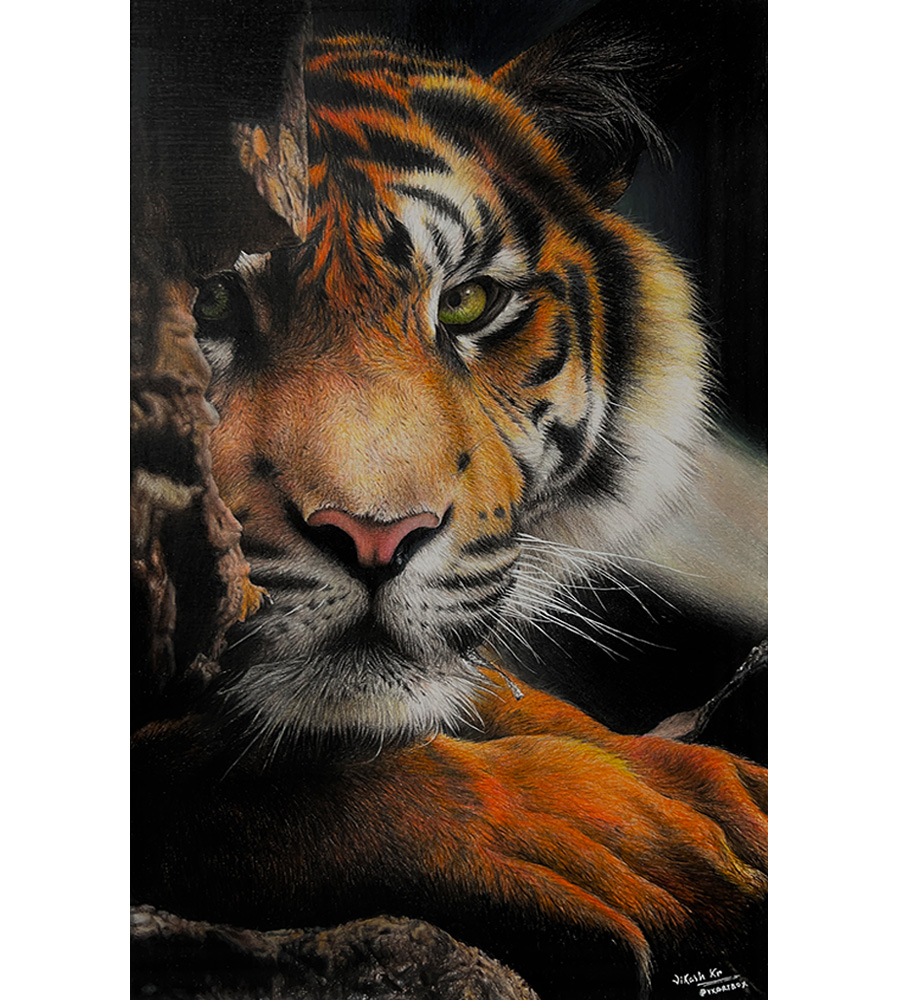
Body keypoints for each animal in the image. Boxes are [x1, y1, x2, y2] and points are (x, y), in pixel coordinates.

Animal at [132, 12, 767, 998]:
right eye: (211, 300)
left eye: (467, 303)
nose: (375, 537)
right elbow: (250, 788)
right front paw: (596, 835)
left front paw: (701, 789)